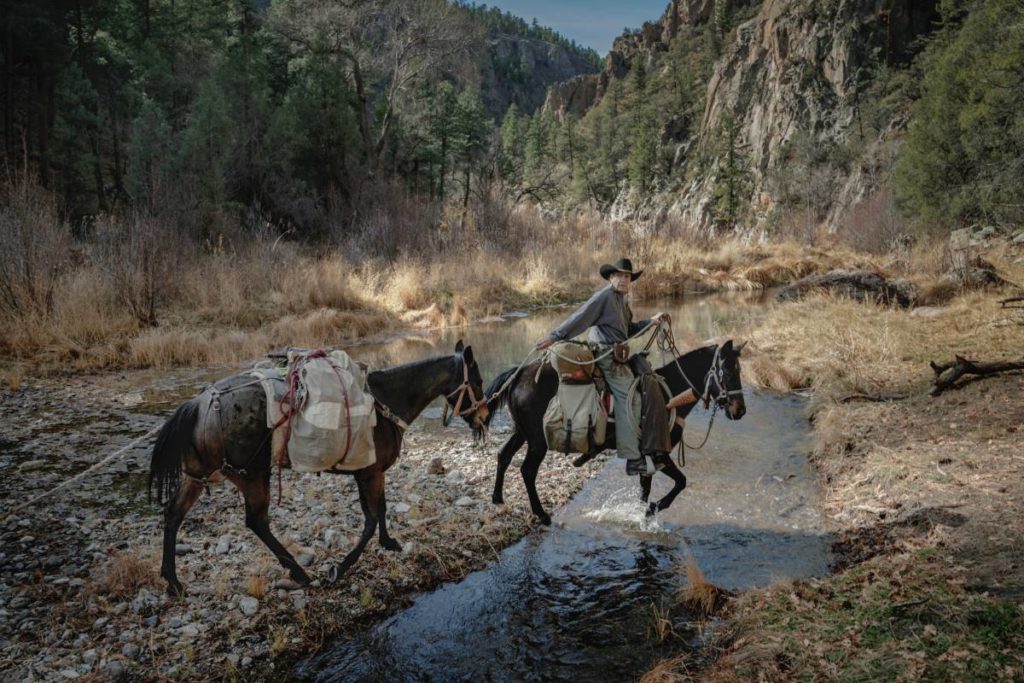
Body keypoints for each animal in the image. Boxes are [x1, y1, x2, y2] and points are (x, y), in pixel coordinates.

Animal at [148, 342, 487, 598]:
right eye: (479, 381)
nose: (484, 415)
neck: (385, 401)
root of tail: (200, 404)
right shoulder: (370, 473)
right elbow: (370, 519)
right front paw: (340, 568)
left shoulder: (369, 472)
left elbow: (380, 509)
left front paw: (388, 543)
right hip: (253, 476)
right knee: (257, 522)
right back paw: (299, 573)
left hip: (197, 475)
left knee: (173, 514)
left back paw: (173, 582)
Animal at [483, 339, 749, 524]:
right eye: (727, 372)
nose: (740, 411)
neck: (670, 393)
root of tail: (518, 375)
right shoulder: (659, 454)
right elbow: (680, 483)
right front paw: (650, 511)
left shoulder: (646, 458)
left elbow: (645, 489)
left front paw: (640, 513)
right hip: (538, 441)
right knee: (527, 471)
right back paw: (542, 514)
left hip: (521, 432)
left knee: (503, 455)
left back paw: (498, 500)